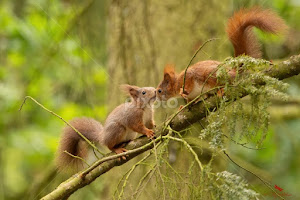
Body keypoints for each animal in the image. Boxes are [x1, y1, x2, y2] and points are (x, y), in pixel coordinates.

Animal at [156, 7, 288, 102]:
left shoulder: (186, 76)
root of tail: (234, 70)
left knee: (226, 82)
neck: (175, 83)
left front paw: (183, 92)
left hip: (213, 74)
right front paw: (183, 106)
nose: (155, 98)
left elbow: (189, 80)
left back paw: (221, 90)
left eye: (159, 91)